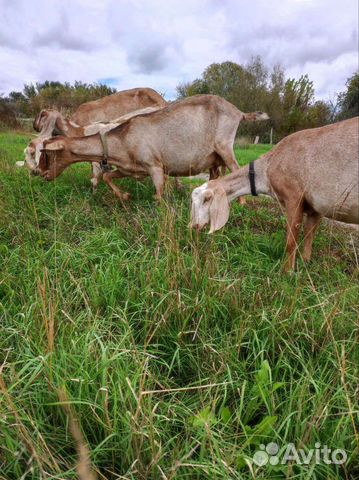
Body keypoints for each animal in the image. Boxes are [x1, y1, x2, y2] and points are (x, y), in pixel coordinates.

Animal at [35, 94, 270, 200]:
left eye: (50, 155)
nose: (41, 174)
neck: (121, 139)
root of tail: (238, 111)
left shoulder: (155, 166)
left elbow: (159, 194)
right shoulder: (130, 169)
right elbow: (107, 176)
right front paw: (124, 197)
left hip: (224, 146)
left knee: (236, 169)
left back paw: (241, 204)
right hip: (214, 159)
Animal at [193, 116, 358, 270]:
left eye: (206, 199)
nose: (193, 226)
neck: (266, 169)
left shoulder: (294, 197)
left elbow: (291, 241)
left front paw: (287, 272)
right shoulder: (316, 207)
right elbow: (309, 235)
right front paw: (304, 263)